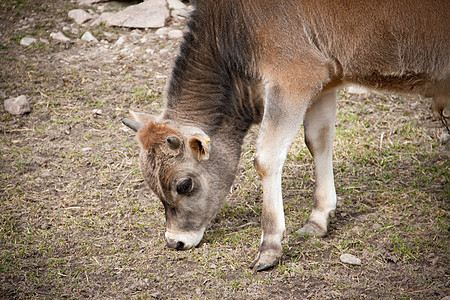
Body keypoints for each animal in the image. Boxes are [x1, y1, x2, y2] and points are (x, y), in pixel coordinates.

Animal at [121, 0, 448, 270]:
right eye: (152, 187)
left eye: (184, 184)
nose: (175, 242)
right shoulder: (325, 80)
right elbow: (318, 139)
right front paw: (319, 219)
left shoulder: (294, 76)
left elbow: (266, 157)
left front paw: (270, 247)